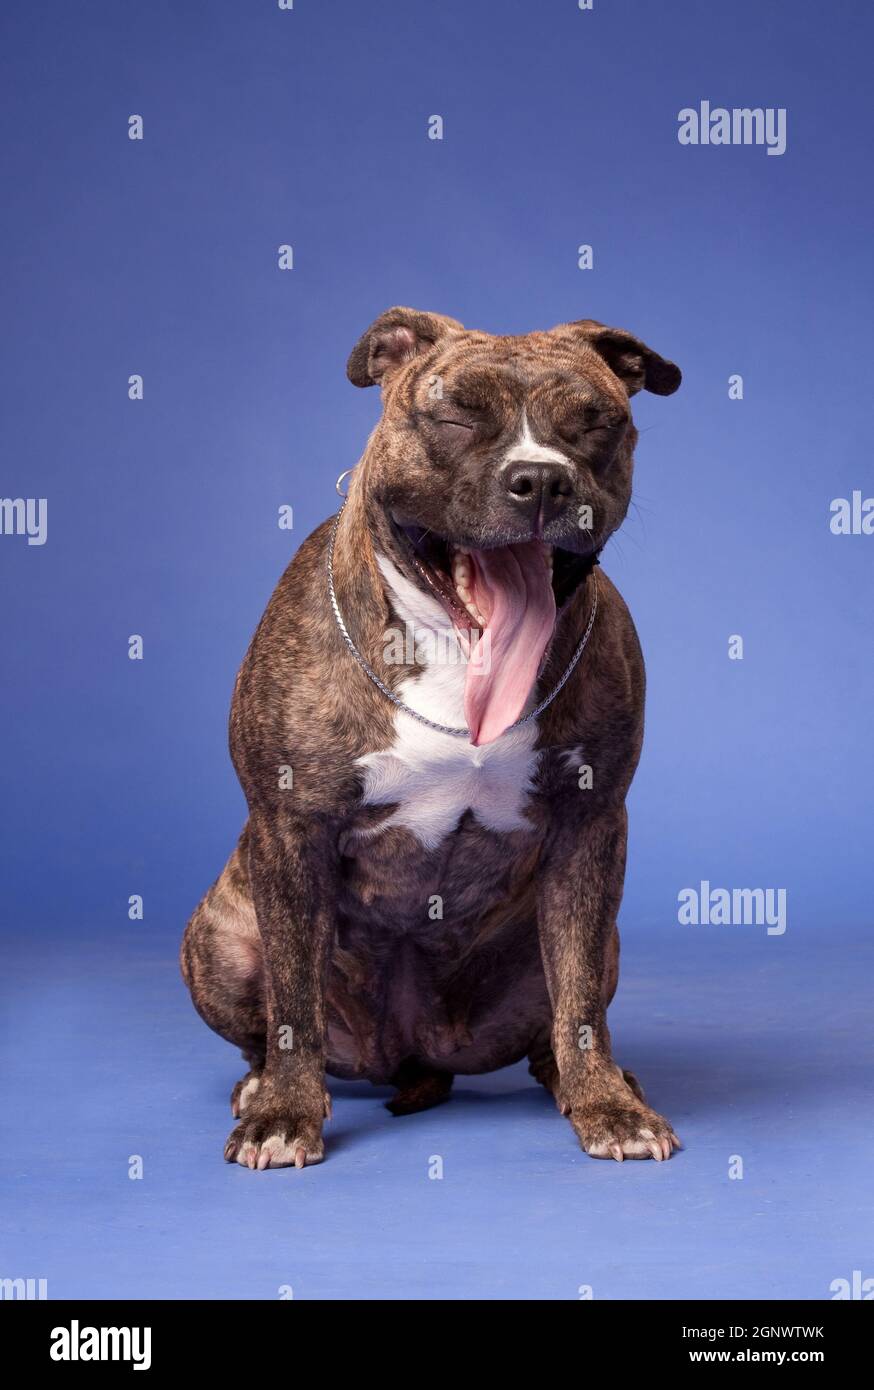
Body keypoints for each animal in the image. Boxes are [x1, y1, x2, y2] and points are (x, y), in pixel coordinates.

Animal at [179, 309, 680, 1167]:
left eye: (594, 424)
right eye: (456, 418)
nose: (541, 478)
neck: (457, 661)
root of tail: (409, 1050)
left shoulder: (591, 827)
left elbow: (579, 998)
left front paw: (608, 1108)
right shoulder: (291, 827)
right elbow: (292, 1000)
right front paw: (283, 1114)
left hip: (584, 941)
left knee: (563, 1012)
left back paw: (582, 1079)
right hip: (216, 935)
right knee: (269, 1024)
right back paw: (260, 1084)